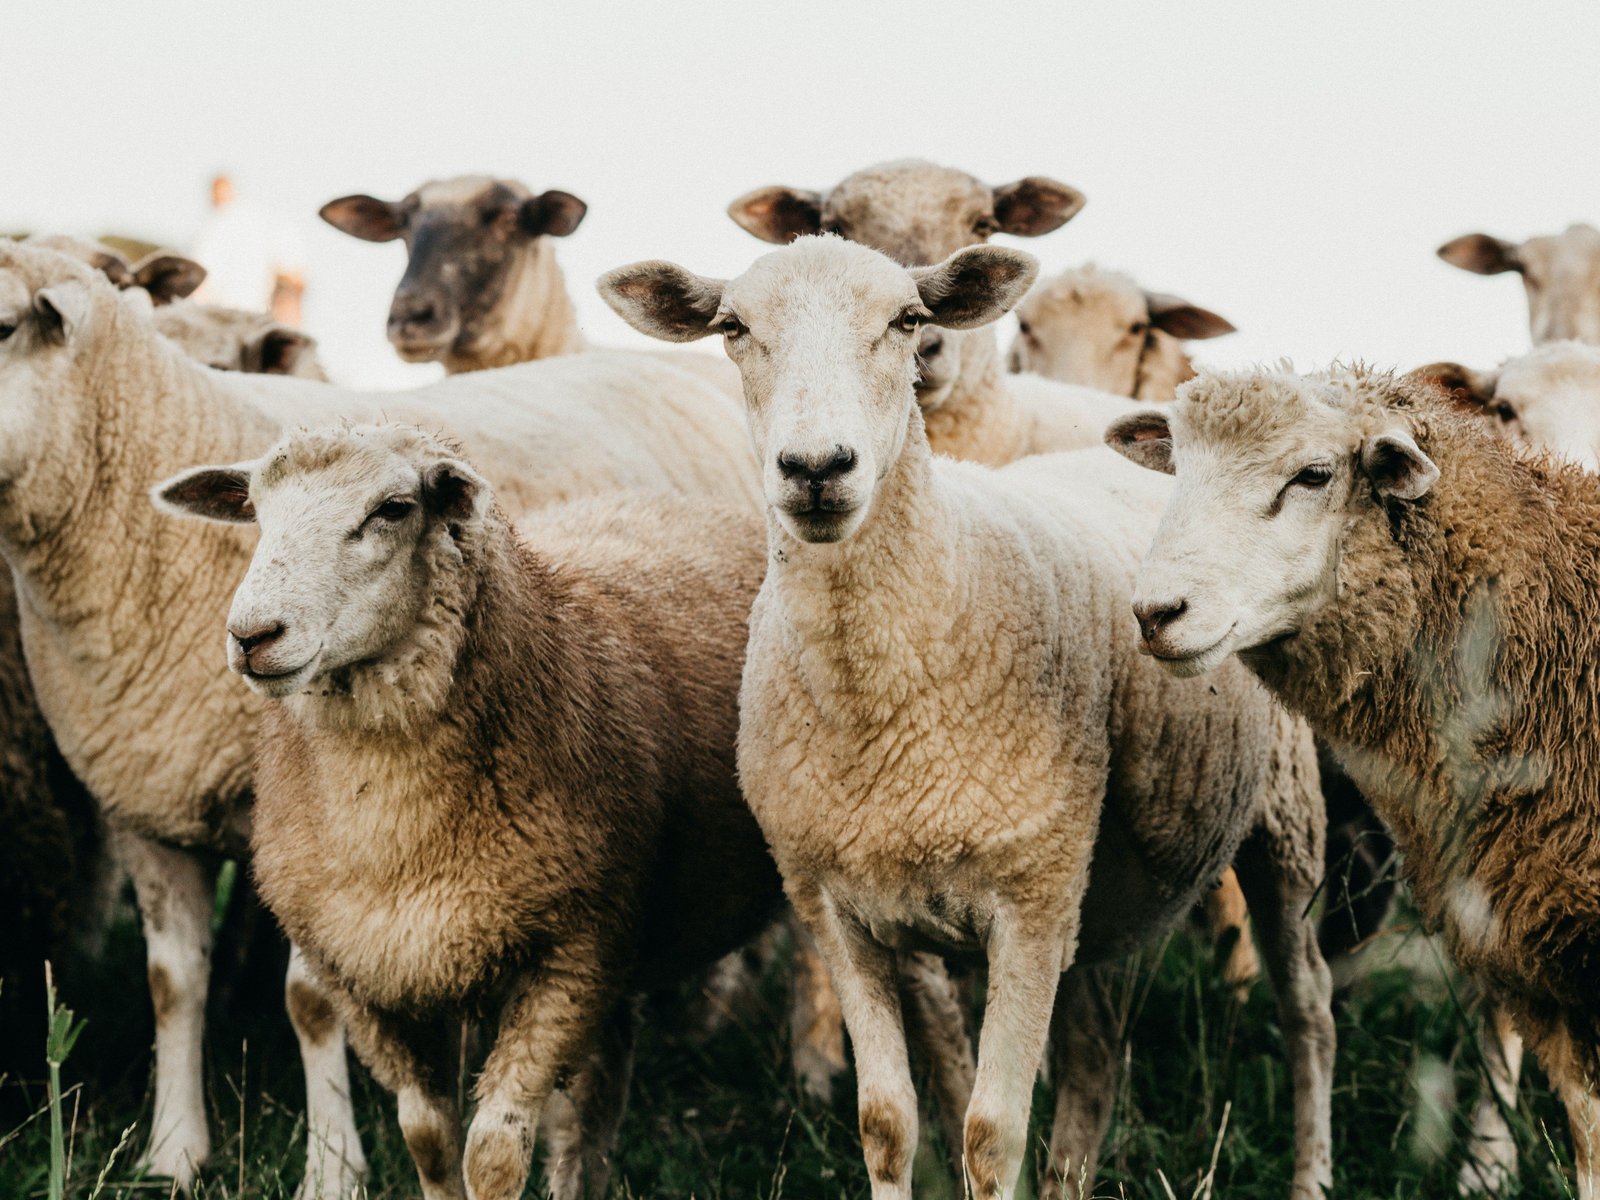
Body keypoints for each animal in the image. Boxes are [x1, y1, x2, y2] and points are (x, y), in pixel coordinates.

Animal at [153, 422, 785, 1200]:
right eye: (256, 509)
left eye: (393, 509)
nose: (251, 635)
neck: (395, 832)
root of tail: (686, 504)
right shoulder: (372, 976)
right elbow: (428, 1138)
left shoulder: (569, 956)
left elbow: (494, 1151)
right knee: (600, 1095)